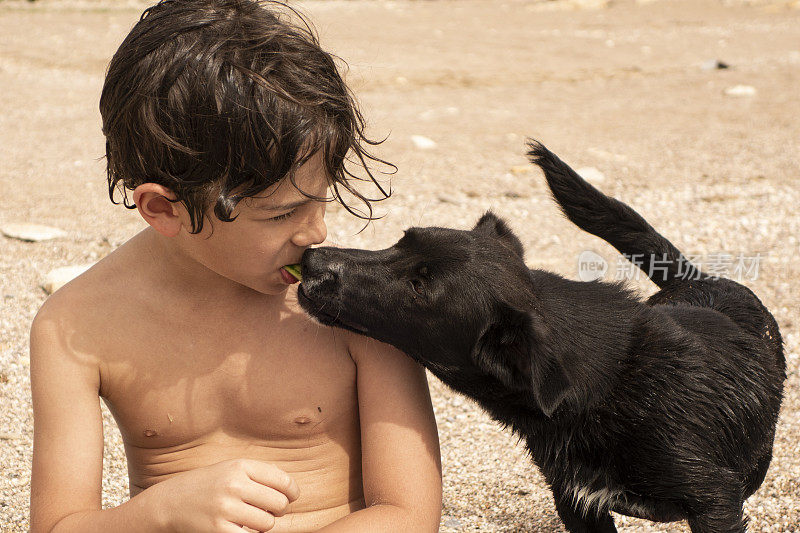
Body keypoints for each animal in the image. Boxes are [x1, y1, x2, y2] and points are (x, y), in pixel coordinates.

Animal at [296, 141, 784, 532]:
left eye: (419, 286)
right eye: (401, 241)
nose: (311, 261)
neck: (612, 382)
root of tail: (697, 277)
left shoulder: (714, 503)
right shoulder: (576, 503)